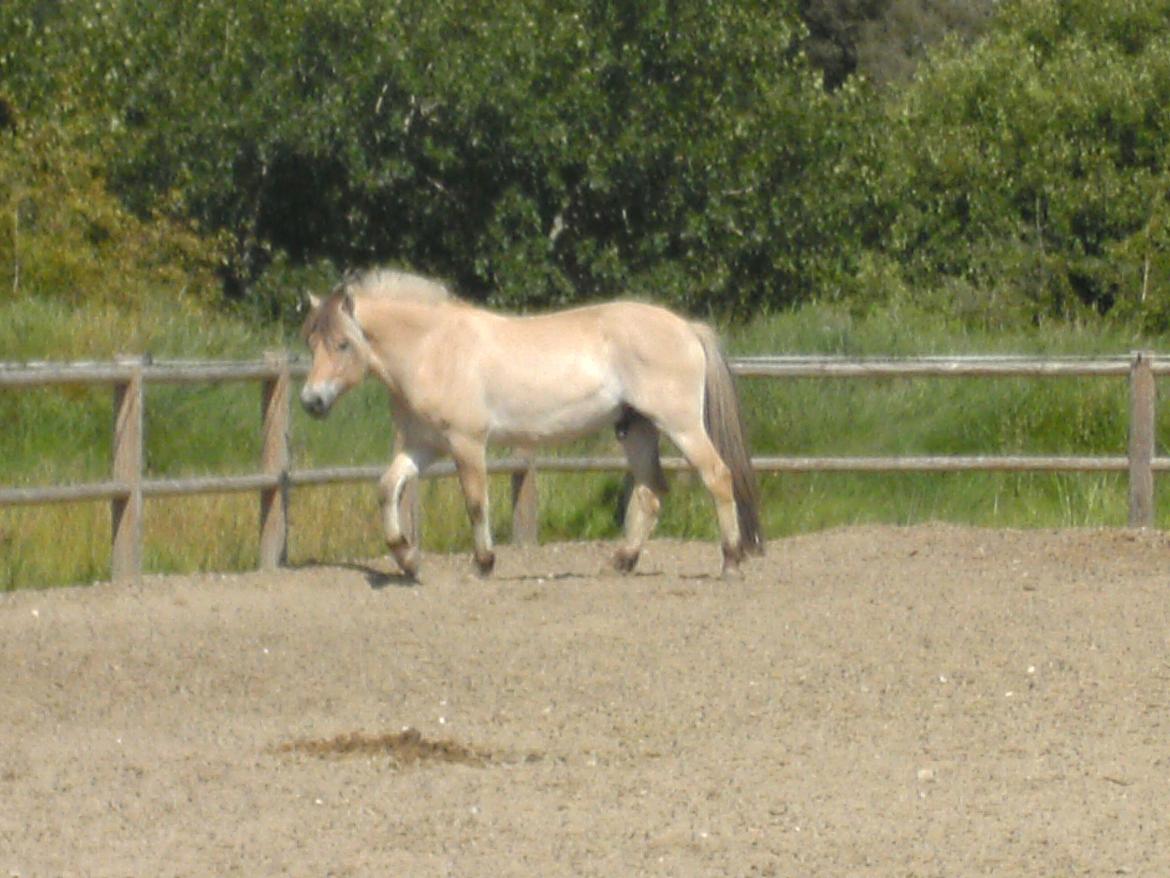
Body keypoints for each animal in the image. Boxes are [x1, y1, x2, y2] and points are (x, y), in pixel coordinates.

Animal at [297, 271, 762, 580]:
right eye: (311, 341)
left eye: (343, 343)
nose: (311, 401)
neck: (433, 348)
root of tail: (686, 327)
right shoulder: (423, 446)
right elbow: (387, 487)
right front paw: (407, 559)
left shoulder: (466, 443)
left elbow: (475, 501)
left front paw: (484, 563)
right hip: (637, 428)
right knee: (651, 492)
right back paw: (622, 561)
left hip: (681, 425)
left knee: (717, 476)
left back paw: (730, 560)